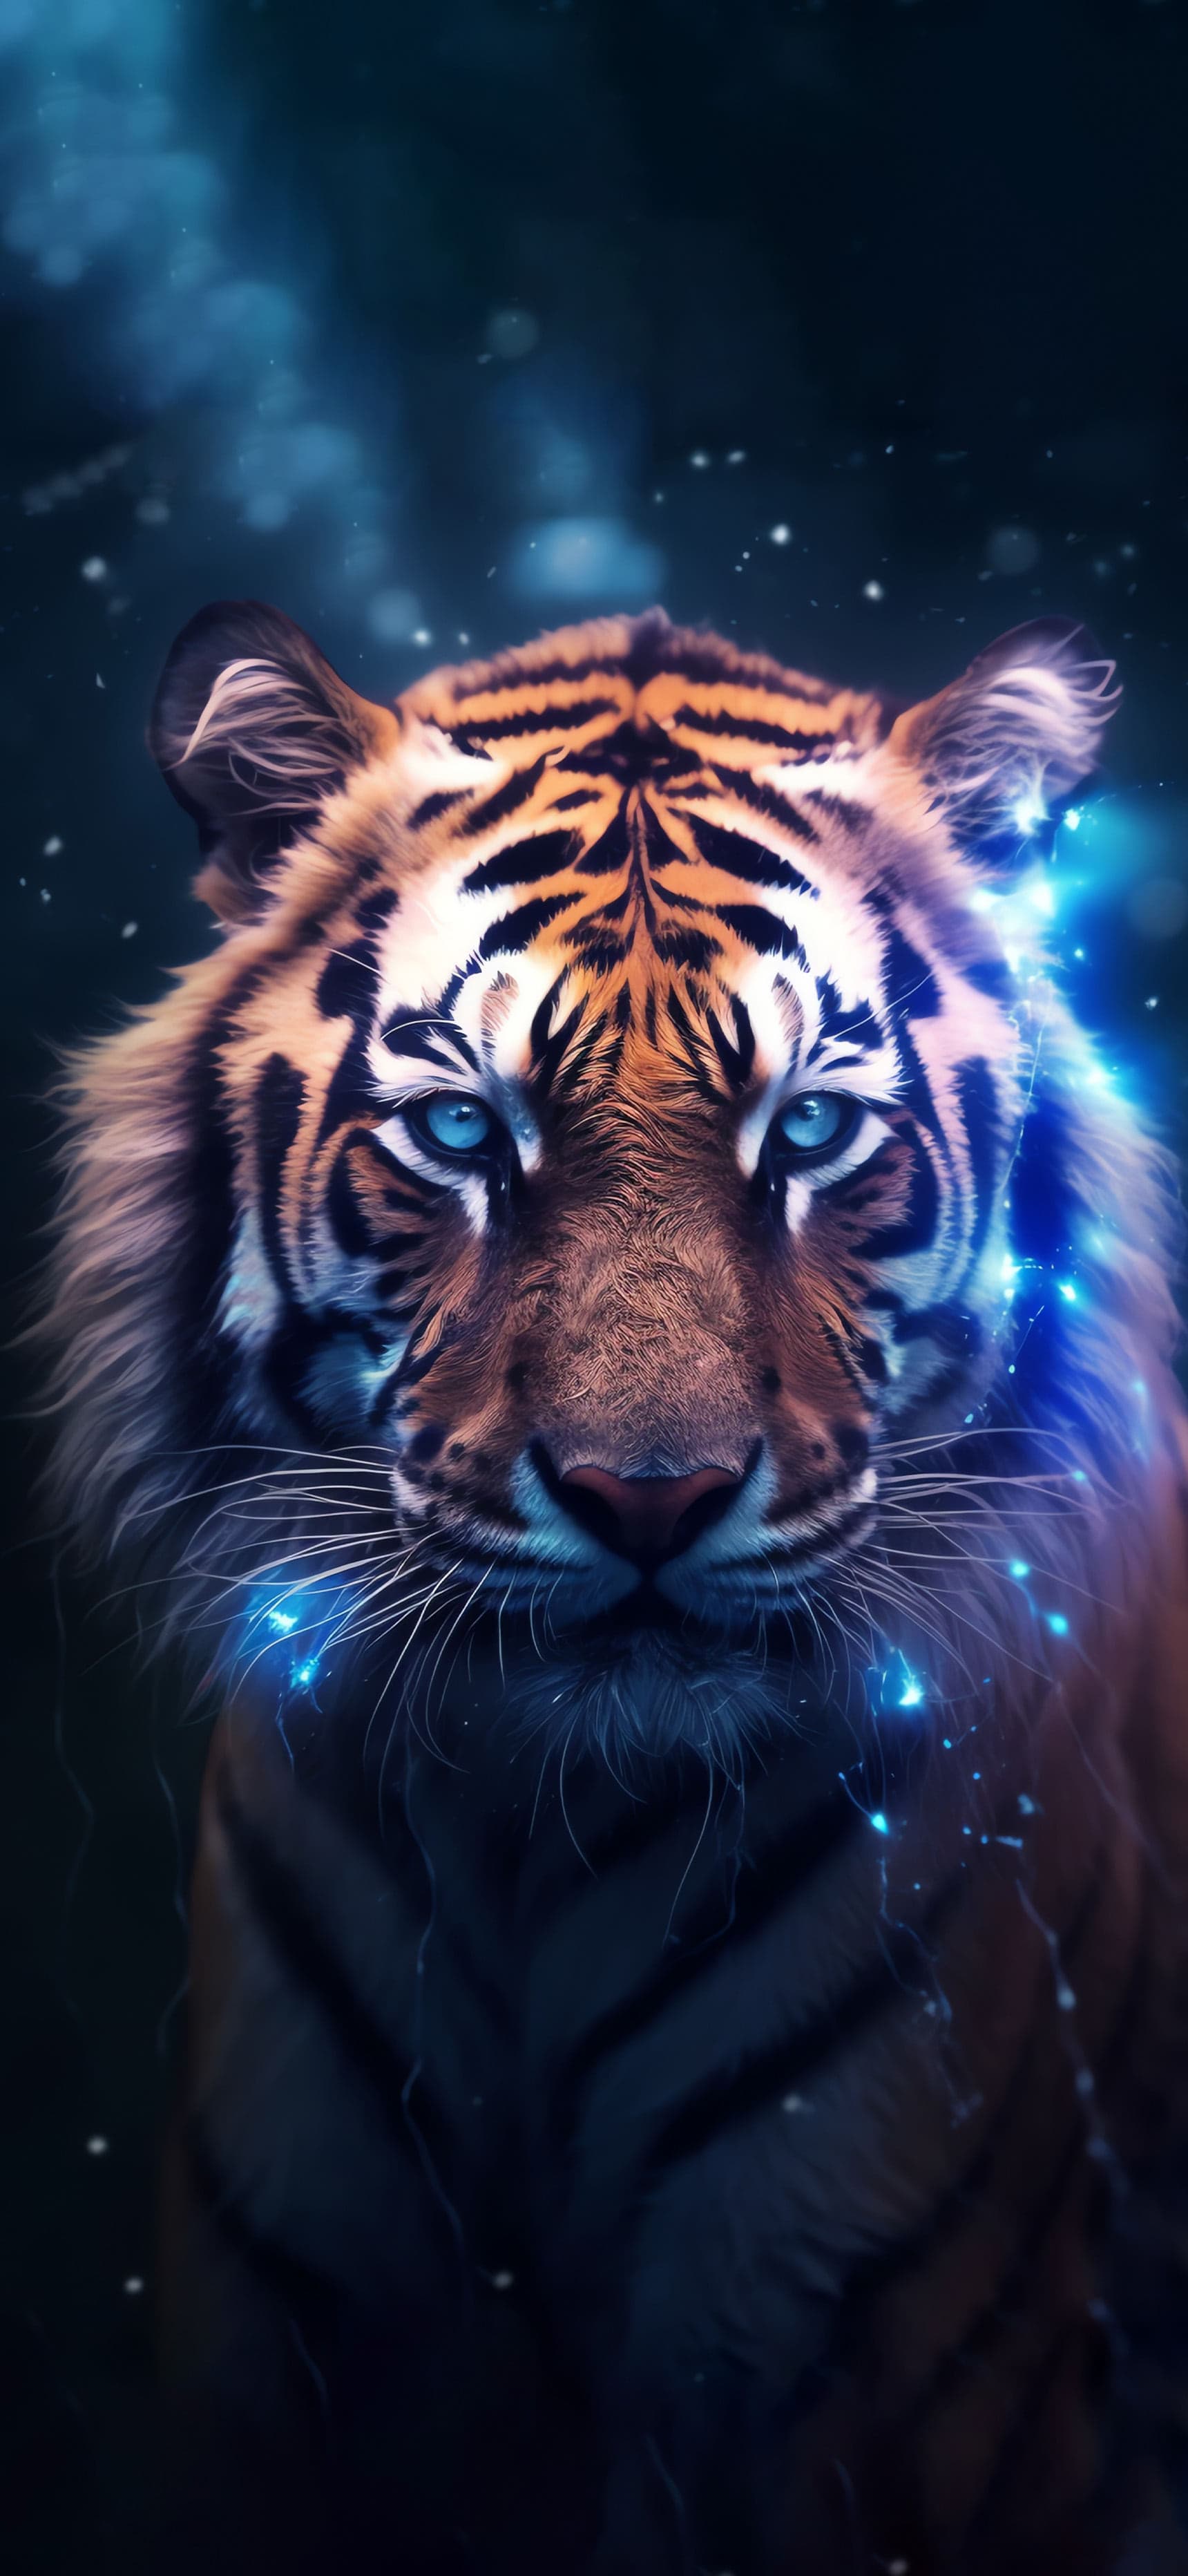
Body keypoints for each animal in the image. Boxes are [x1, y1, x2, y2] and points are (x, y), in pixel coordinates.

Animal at [40, 599, 1188, 2576]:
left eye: (806, 1135)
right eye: (457, 1134)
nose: (643, 1495)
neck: (533, 1832)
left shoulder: (883, 2391)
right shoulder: (289, 2359)